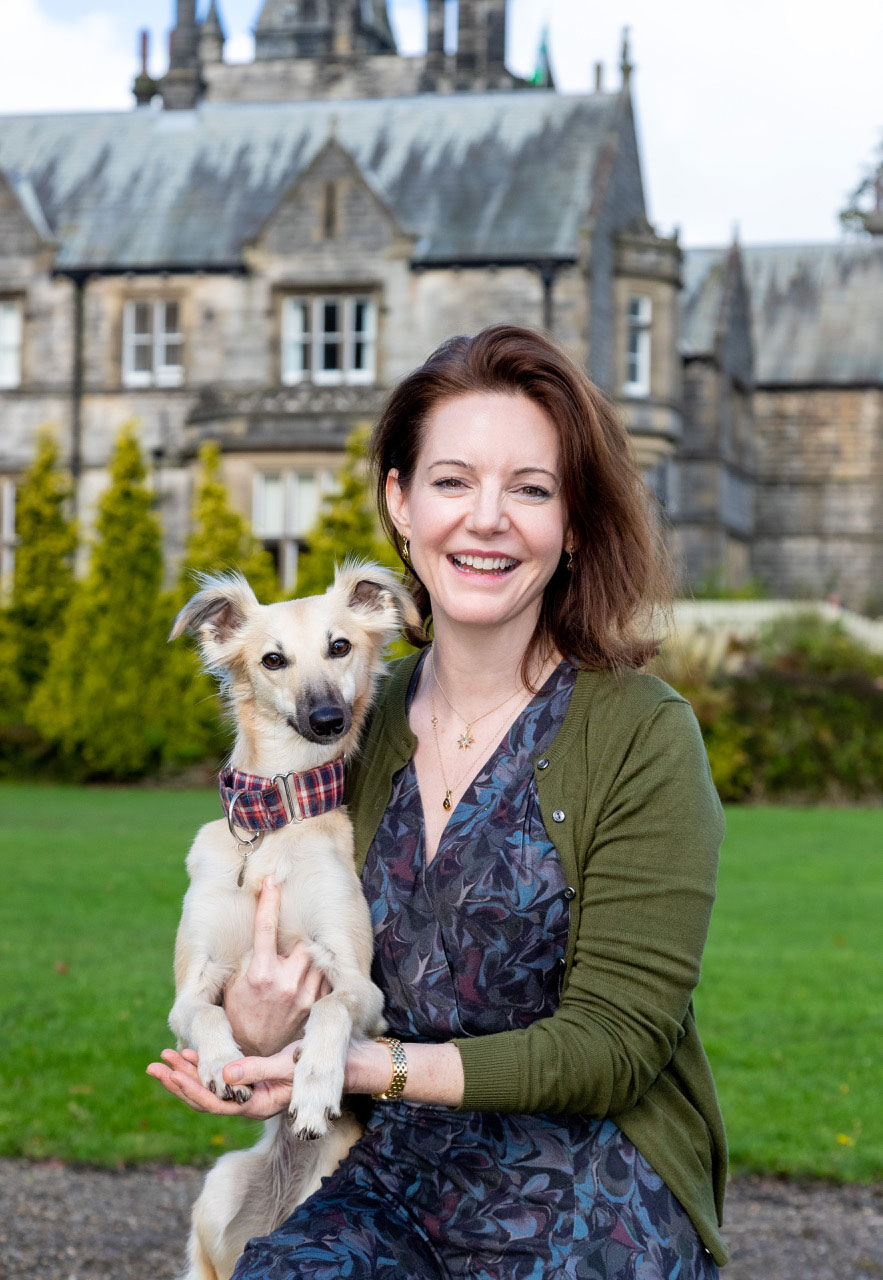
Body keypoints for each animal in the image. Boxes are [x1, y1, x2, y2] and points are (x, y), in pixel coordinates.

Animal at [171, 560, 419, 1280]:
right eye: (272, 659)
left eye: (340, 646)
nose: (326, 717)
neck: (274, 829)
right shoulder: (188, 990)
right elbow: (209, 1016)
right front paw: (222, 1065)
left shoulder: (361, 986)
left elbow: (331, 1009)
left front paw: (310, 1088)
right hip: (218, 1193)